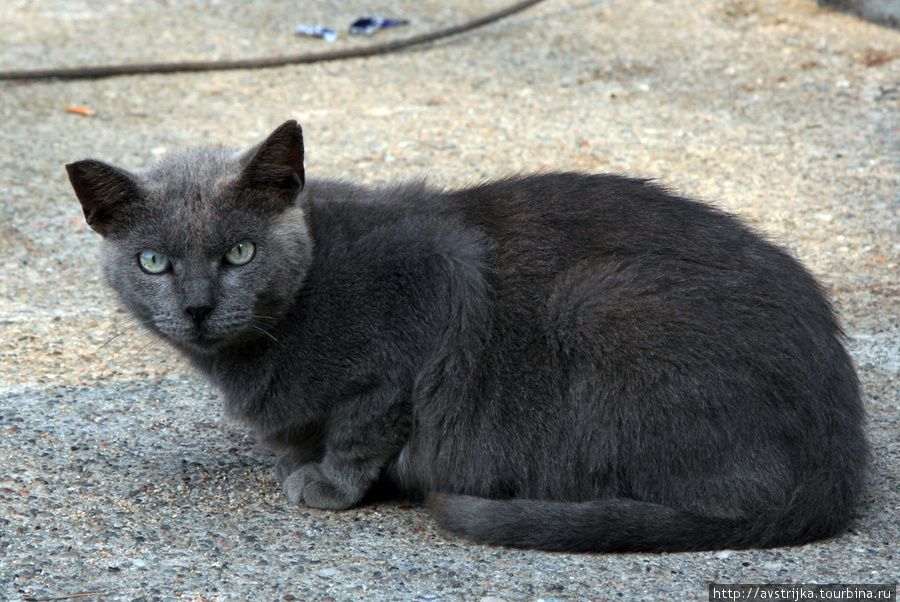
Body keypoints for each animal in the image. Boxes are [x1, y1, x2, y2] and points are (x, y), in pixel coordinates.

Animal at [67, 119, 868, 552]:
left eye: (239, 252)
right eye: (153, 262)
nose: (199, 307)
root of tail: (839, 459)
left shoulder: (422, 308)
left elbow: (362, 428)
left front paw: (325, 482)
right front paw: (295, 454)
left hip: (603, 305)